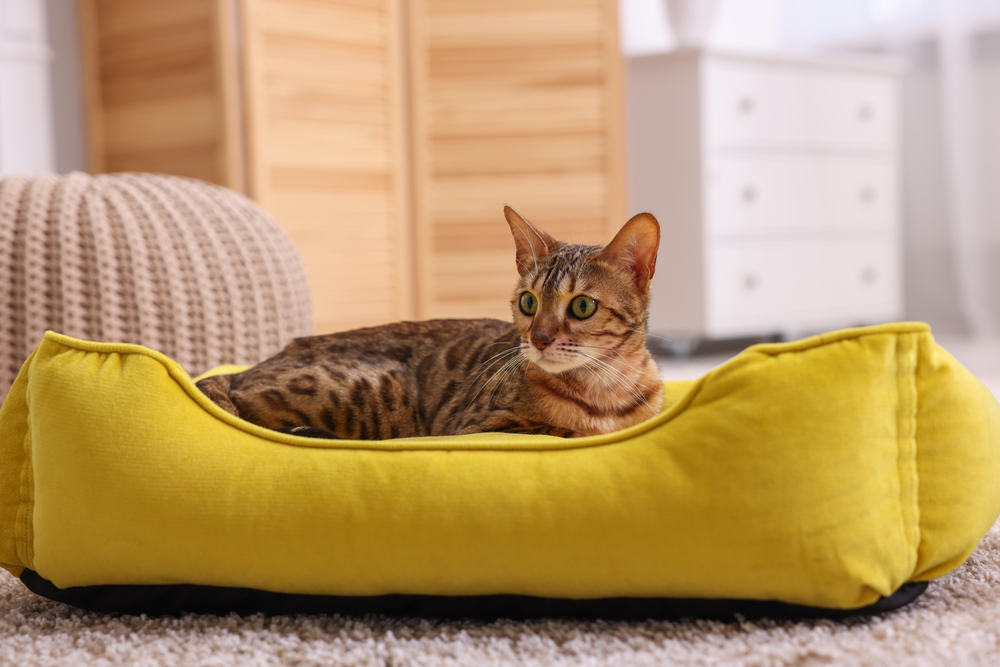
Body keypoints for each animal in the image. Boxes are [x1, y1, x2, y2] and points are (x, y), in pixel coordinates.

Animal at [195, 206, 664, 440]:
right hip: (376, 387)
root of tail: (243, 372)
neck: (606, 389)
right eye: (529, 302)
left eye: (582, 307)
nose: (539, 339)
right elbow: (564, 431)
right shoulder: (477, 426)